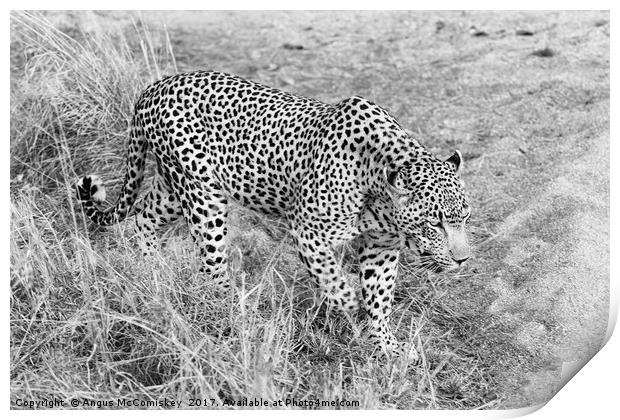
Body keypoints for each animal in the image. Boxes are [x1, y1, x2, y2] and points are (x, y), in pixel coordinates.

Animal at [78, 70, 474, 360]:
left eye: (465, 218)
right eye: (435, 223)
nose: (463, 259)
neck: (379, 189)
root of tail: (153, 87)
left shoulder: (382, 247)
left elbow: (380, 297)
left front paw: (387, 346)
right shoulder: (309, 232)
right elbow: (334, 280)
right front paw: (347, 307)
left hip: (177, 188)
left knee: (143, 216)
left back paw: (153, 270)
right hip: (204, 196)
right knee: (211, 263)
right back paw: (237, 313)